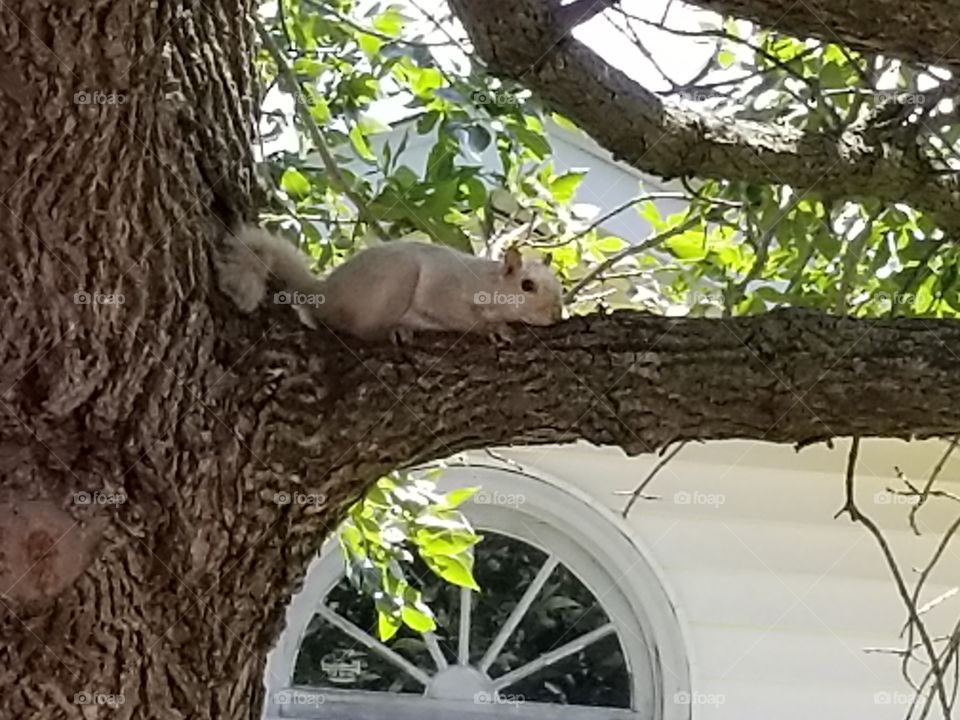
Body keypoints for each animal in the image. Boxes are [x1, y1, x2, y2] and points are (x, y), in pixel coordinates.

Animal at [215, 225, 564, 343]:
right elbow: (457, 315)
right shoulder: (445, 291)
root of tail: (323, 292)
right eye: (527, 286)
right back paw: (395, 330)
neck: (489, 284)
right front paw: (494, 328)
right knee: (357, 329)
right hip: (396, 280)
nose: (556, 316)